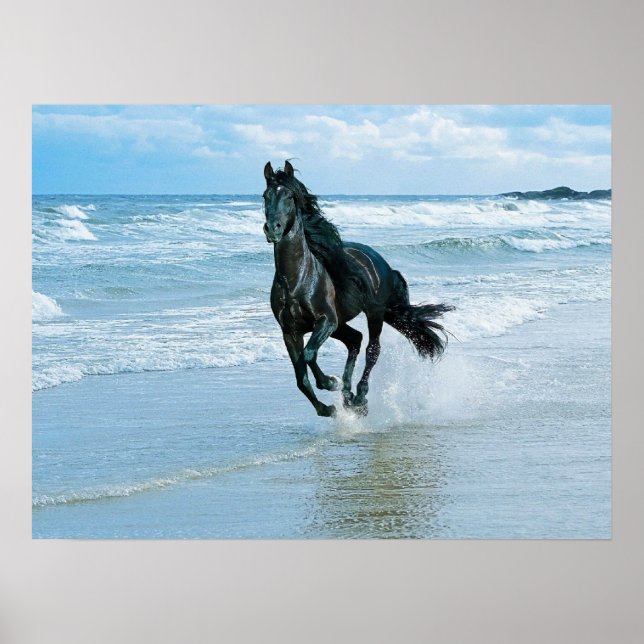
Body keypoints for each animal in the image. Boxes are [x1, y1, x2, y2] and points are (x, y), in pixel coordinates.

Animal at [263, 160, 453, 417]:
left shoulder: (326, 320)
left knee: (372, 349)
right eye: (265, 196)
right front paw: (328, 408)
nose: (272, 229)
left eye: (290, 196)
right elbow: (301, 379)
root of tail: (381, 262)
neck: (296, 280)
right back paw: (348, 396)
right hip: (342, 324)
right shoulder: (290, 332)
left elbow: (310, 354)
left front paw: (330, 382)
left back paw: (359, 396)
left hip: (373, 313)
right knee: (355, 340)